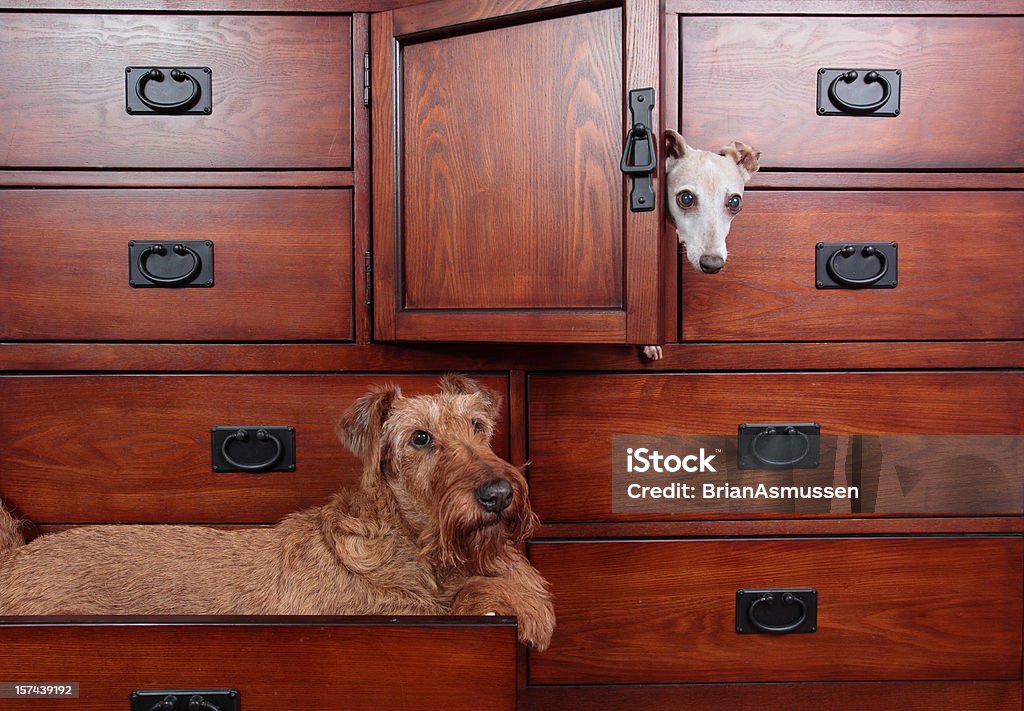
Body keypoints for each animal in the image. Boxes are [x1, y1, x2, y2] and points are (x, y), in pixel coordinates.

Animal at [0, 379, 557, 651]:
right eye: (420, 438)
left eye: (479, 425)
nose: (498, 494)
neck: (411, 540)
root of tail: (12, 559)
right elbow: (473, 596)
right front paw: (518, 604)